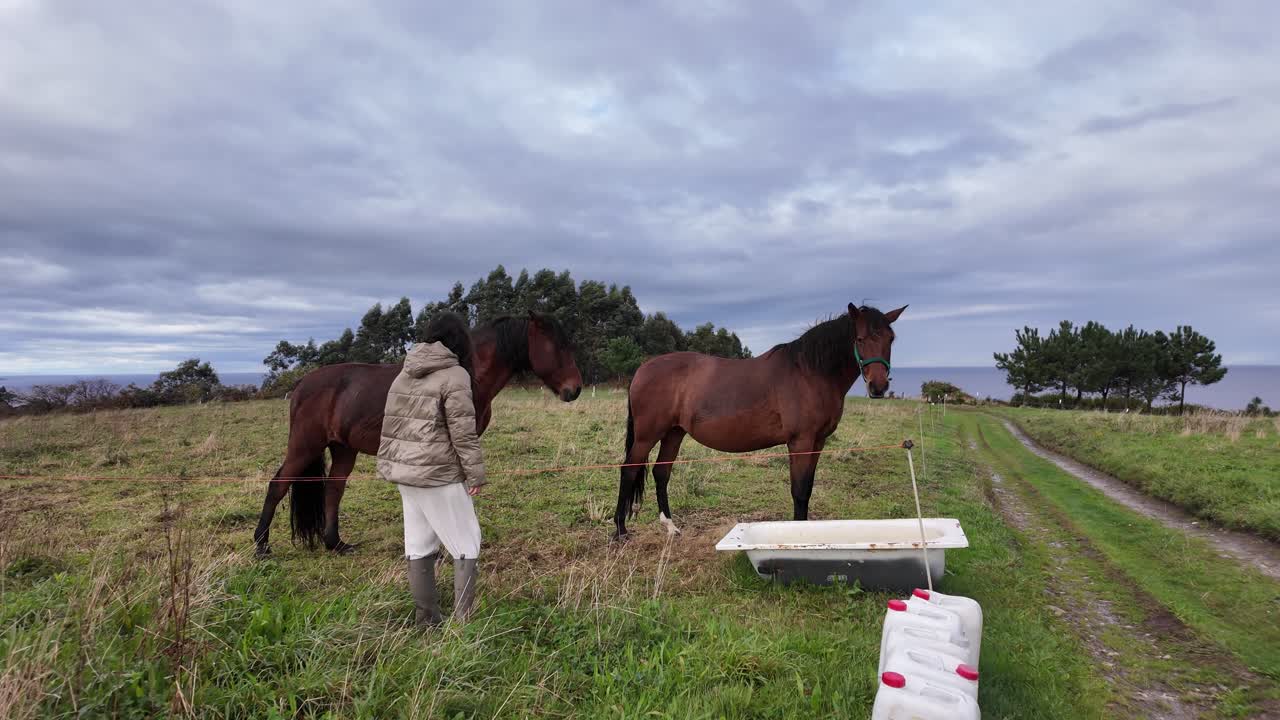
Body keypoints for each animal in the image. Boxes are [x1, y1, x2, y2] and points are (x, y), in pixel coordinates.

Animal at [253, 311, 582, 556]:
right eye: (556, 346)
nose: (575, 389)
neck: (468, 371)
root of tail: (301, 384)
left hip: (343, 448)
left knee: (334, 489)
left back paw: (335, 544)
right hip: (305, 446)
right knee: (278, 485)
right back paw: (261, 546)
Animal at [613, 303, 906, 540]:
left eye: (891, 339)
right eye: (860, 338)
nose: (878, 386)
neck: (809, 373)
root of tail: (642, 369)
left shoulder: (818, 442)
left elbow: (808, 488)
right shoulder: (801, 442)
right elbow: (799, 490)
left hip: (674, 432)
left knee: (661, 473)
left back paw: (671, 527)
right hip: (647, 436)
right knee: (629, 470)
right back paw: (620, 530)